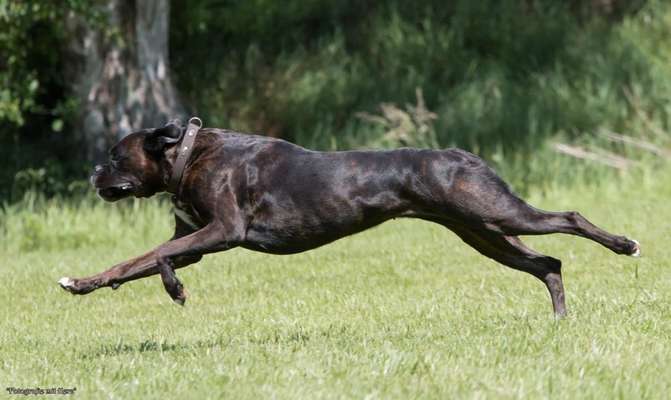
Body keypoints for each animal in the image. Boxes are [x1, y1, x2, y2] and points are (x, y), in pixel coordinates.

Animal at [57, 119, 640, 316]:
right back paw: (559, 320)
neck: (185, 154)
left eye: (115, 155)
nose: (92, 173)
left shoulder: (223, 232)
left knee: (569, 218)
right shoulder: (200, 240)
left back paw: (625, 245)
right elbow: (136, 262)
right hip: (486, 234)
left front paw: (175, 290)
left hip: (498, 213)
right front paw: (82, 283)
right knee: (548, 264)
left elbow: (159, 255)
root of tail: (462, 155)